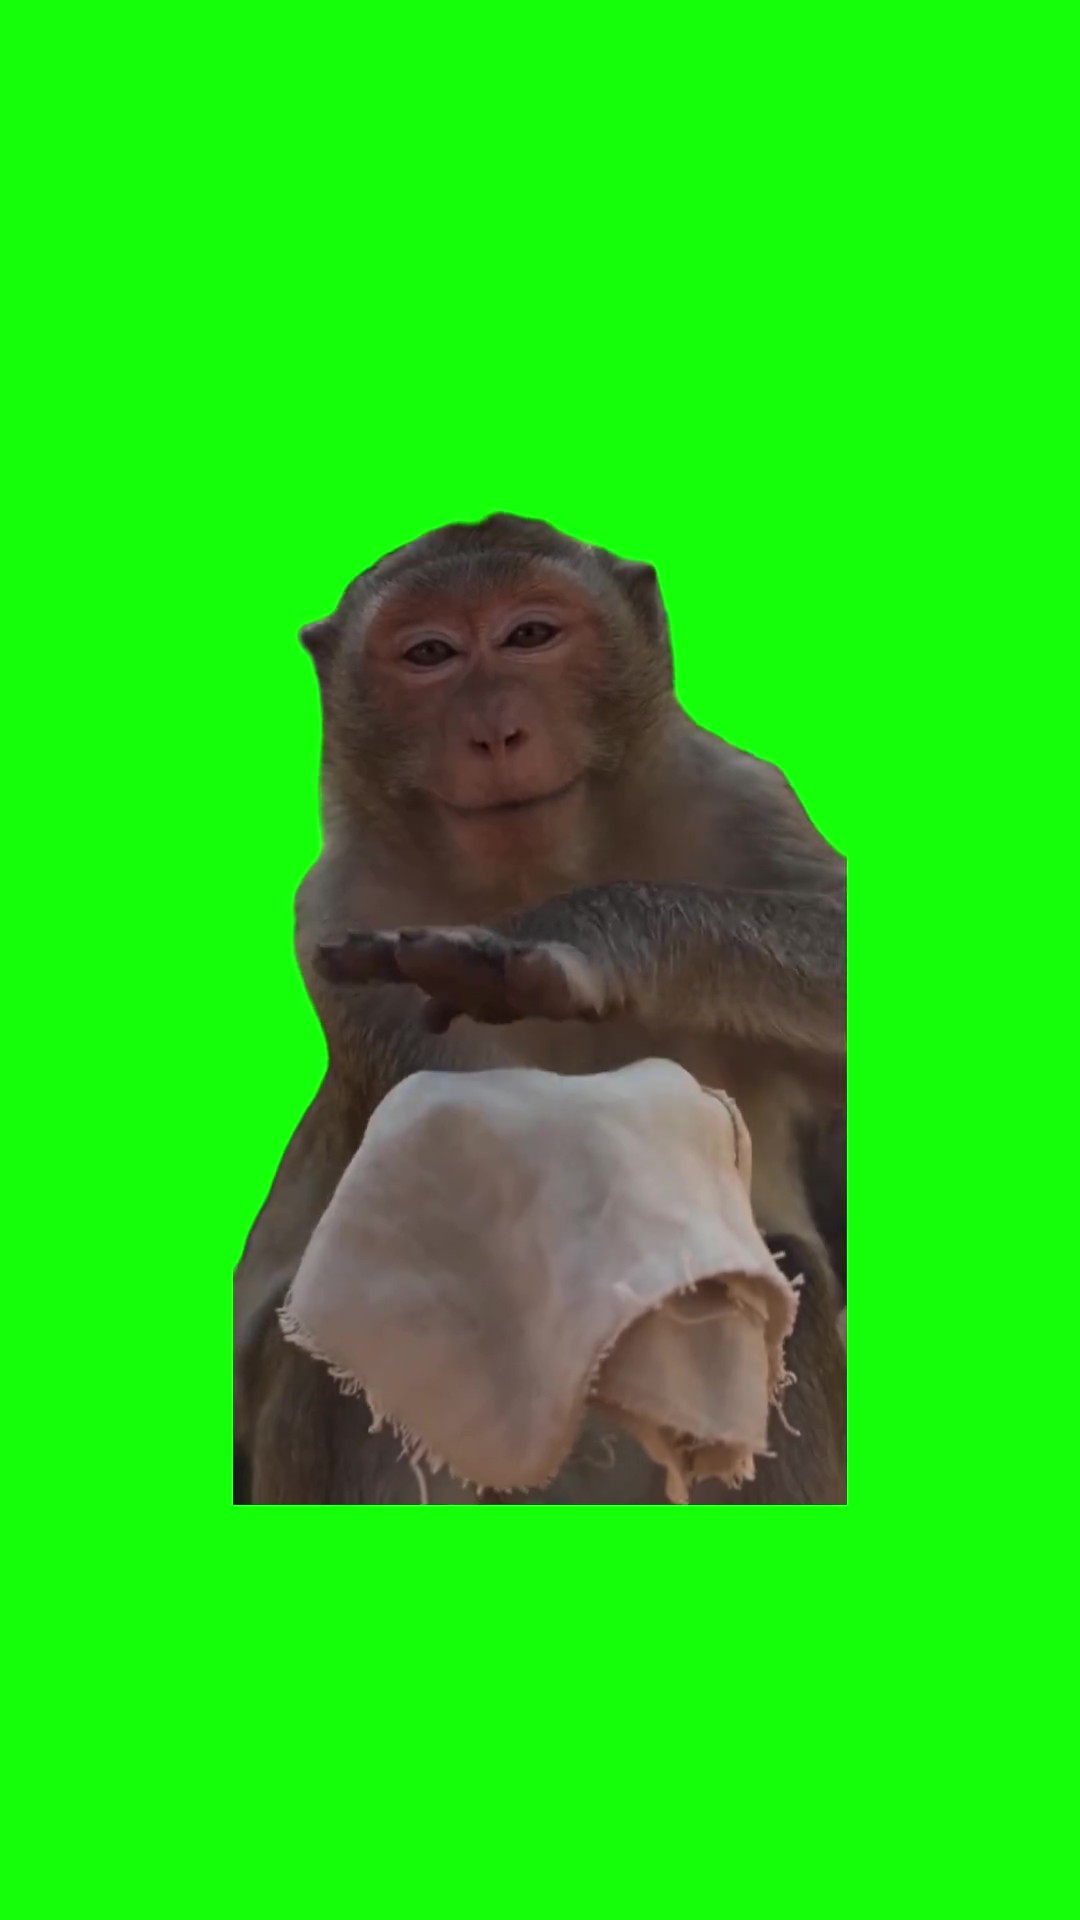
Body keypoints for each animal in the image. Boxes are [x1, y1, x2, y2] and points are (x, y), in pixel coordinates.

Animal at [234, 513, 846, 1504]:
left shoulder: (746, 799)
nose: (495, 732)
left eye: (530, 635)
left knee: (781, 1270)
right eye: (431, 654)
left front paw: (583, 935)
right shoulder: (338, 919)